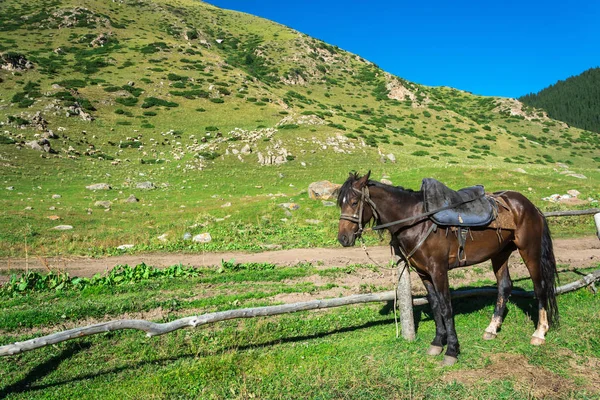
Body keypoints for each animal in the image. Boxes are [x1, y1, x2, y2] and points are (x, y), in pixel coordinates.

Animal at [338, 172, 556, 366]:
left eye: (354, 202)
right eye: (341, 202)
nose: (343, 238)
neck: (418, 221)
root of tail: (530, 206)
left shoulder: (439, 270)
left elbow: (446, 307)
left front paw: (452, 350)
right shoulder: (424, 273)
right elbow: (435, 305)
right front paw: (437, 343)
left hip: (529, 251)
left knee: (540, 288)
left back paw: (539, 333)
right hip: (500, 254)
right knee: (504, 286)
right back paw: (492, 329)